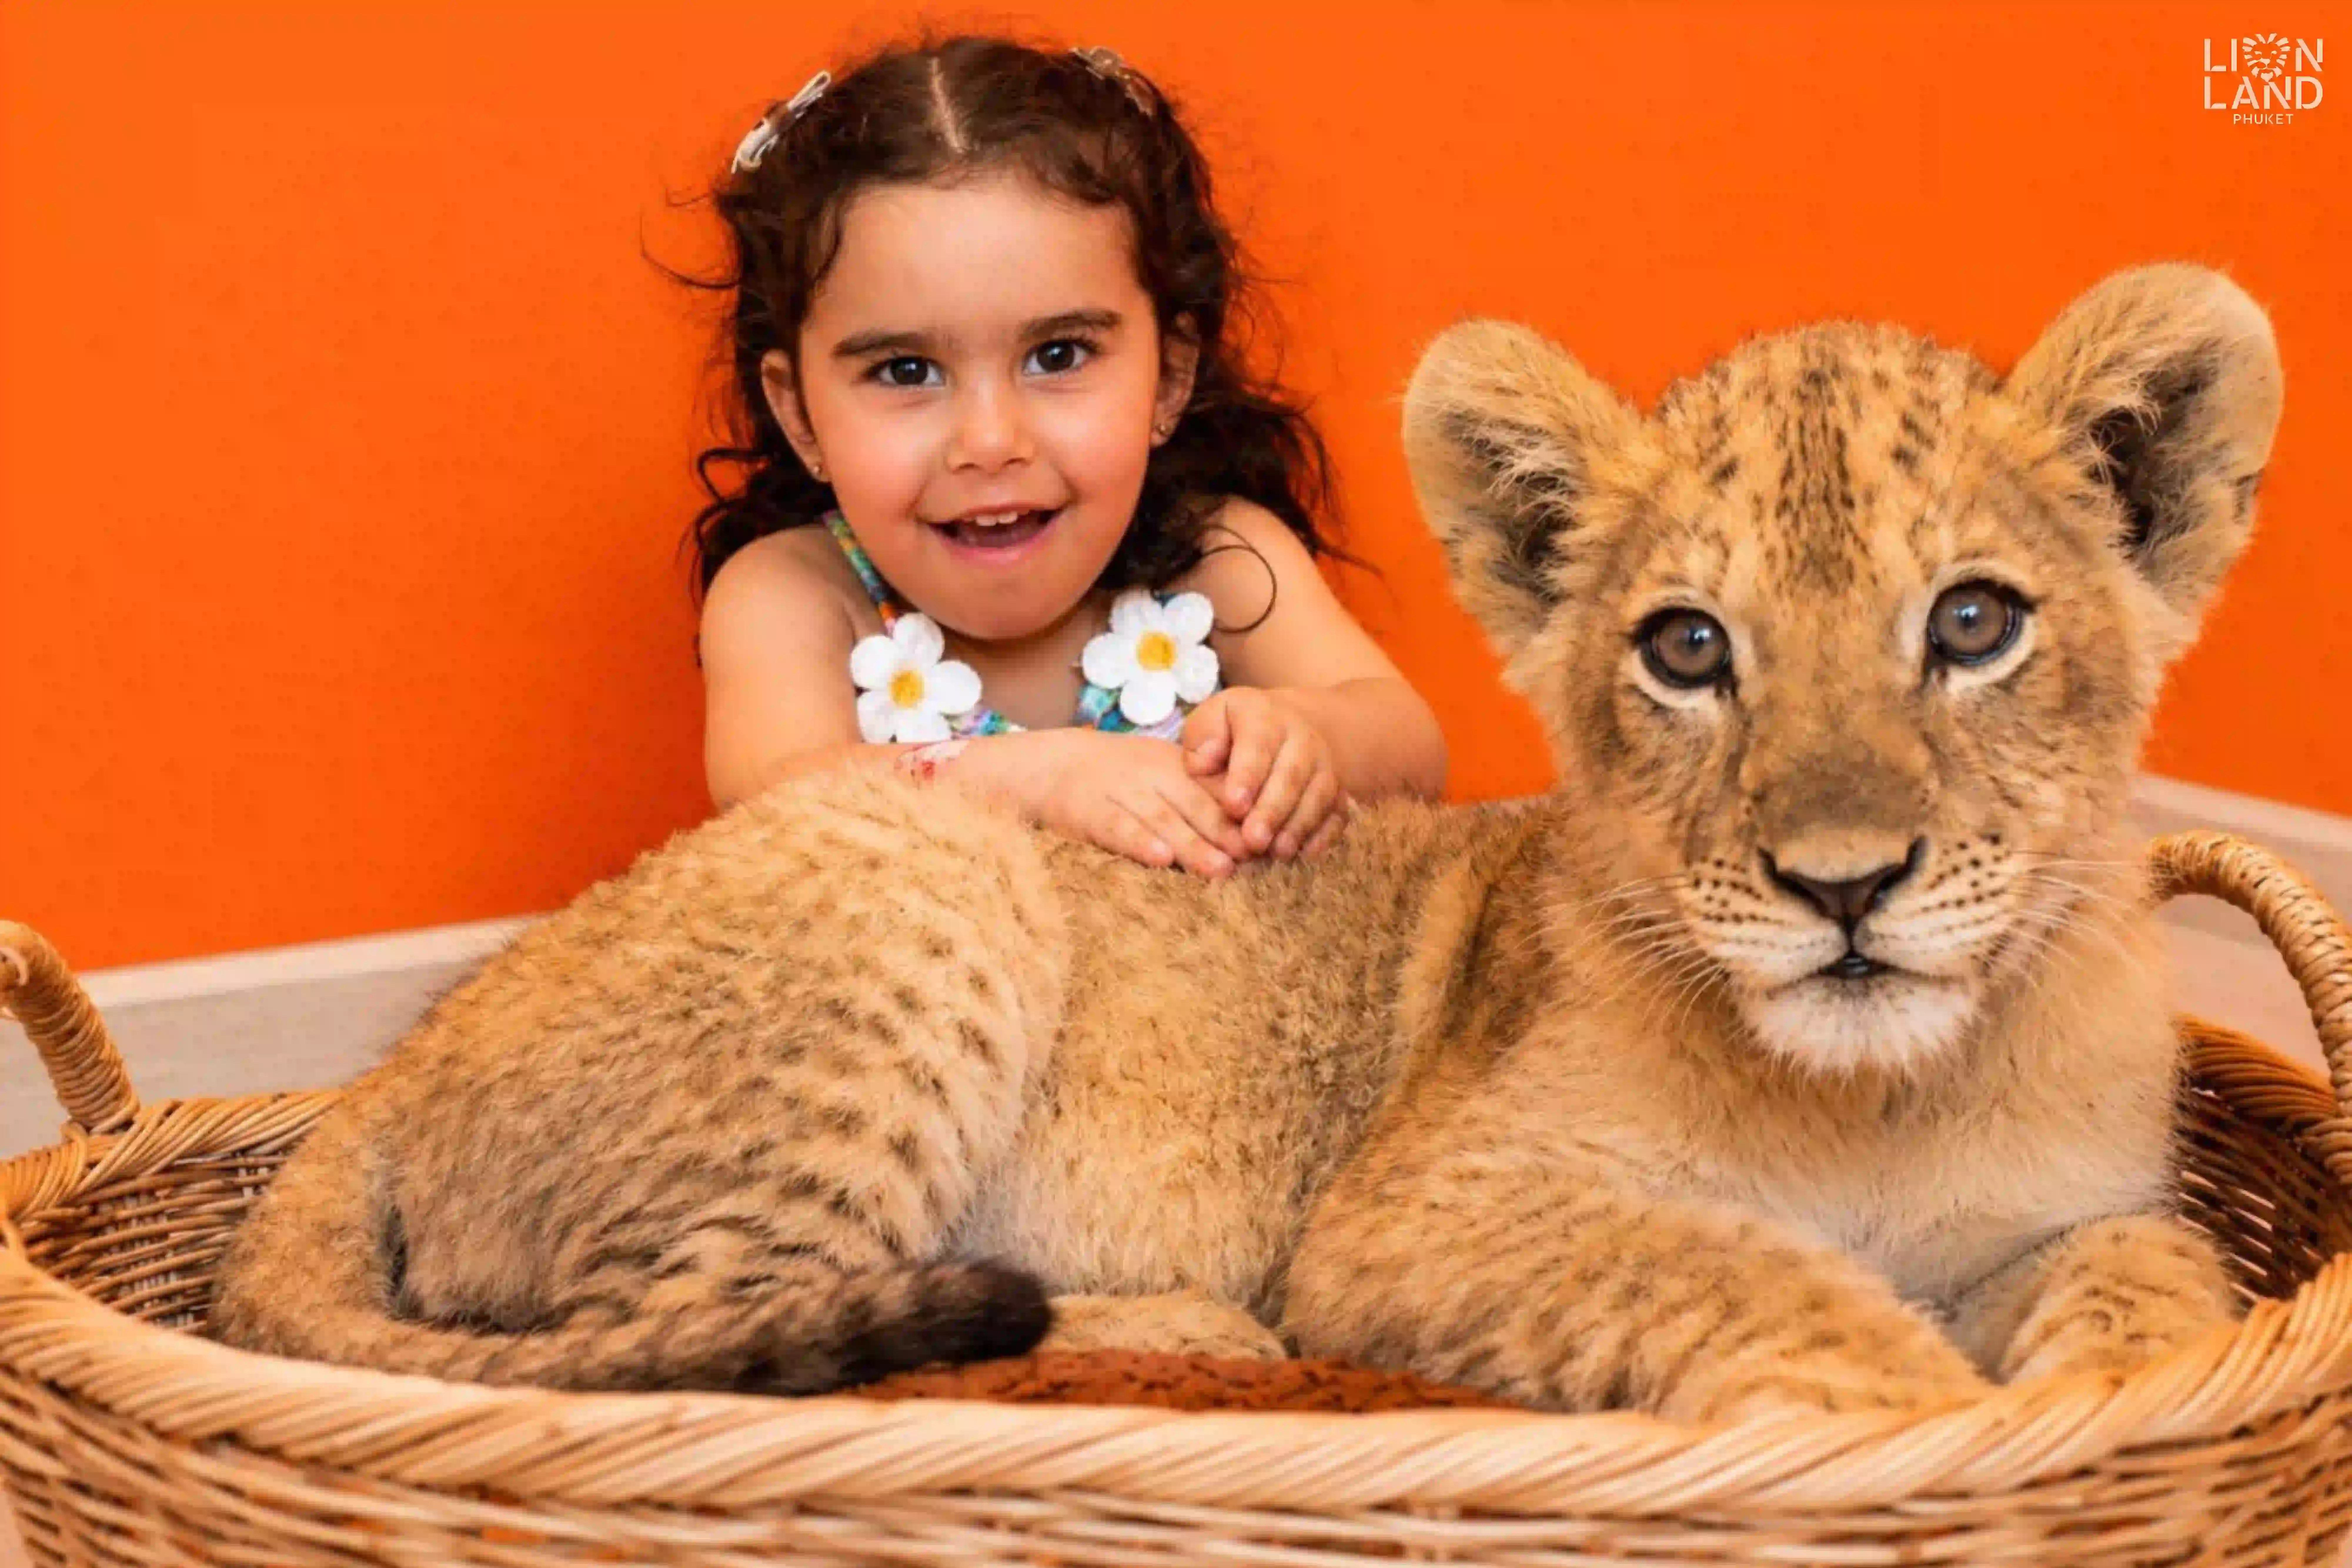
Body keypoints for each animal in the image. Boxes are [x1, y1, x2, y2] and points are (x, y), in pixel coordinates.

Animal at [209, 263, 2281, 1420]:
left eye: (1973, 623)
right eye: (1688, 648)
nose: (1840, 889)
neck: (1879, 1096)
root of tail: (389, 1074)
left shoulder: (2080, 1209)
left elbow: (2162, 1296)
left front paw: (2098, 1413)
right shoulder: (1418, 1212)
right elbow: (1753, 1277)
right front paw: (1924, 1422)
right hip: (923, 881)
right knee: (695, 1341)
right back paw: (1188, 1324)